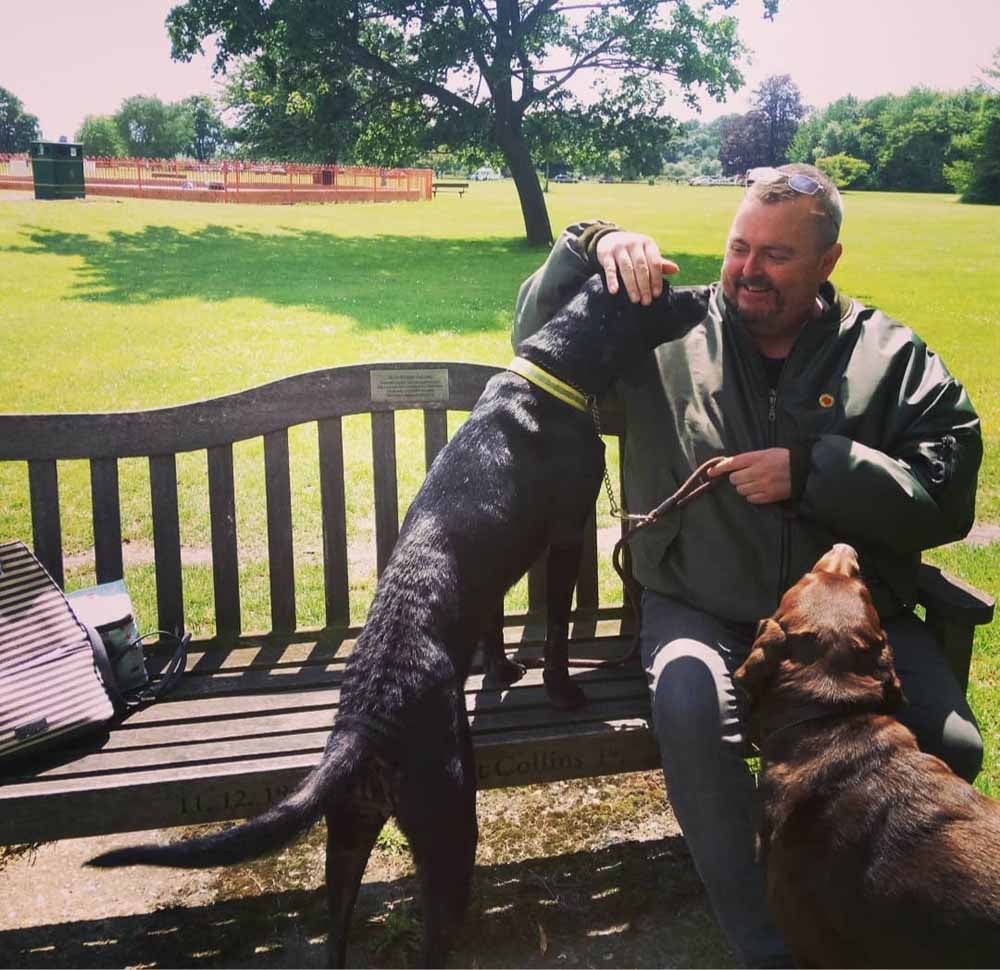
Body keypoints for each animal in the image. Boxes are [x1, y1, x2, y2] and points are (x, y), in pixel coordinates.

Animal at [90, 276, 708, 964]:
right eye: (665, 287)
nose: (702, 292)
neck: (558, 369)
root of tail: (364, 724)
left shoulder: (499, 567)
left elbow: (494, 622)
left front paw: (502, 671)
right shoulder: (568, 534)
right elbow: (555, 630)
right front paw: (561, 689)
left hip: (348, 836)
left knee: (336, 936)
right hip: (449, 820)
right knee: (436, 934)